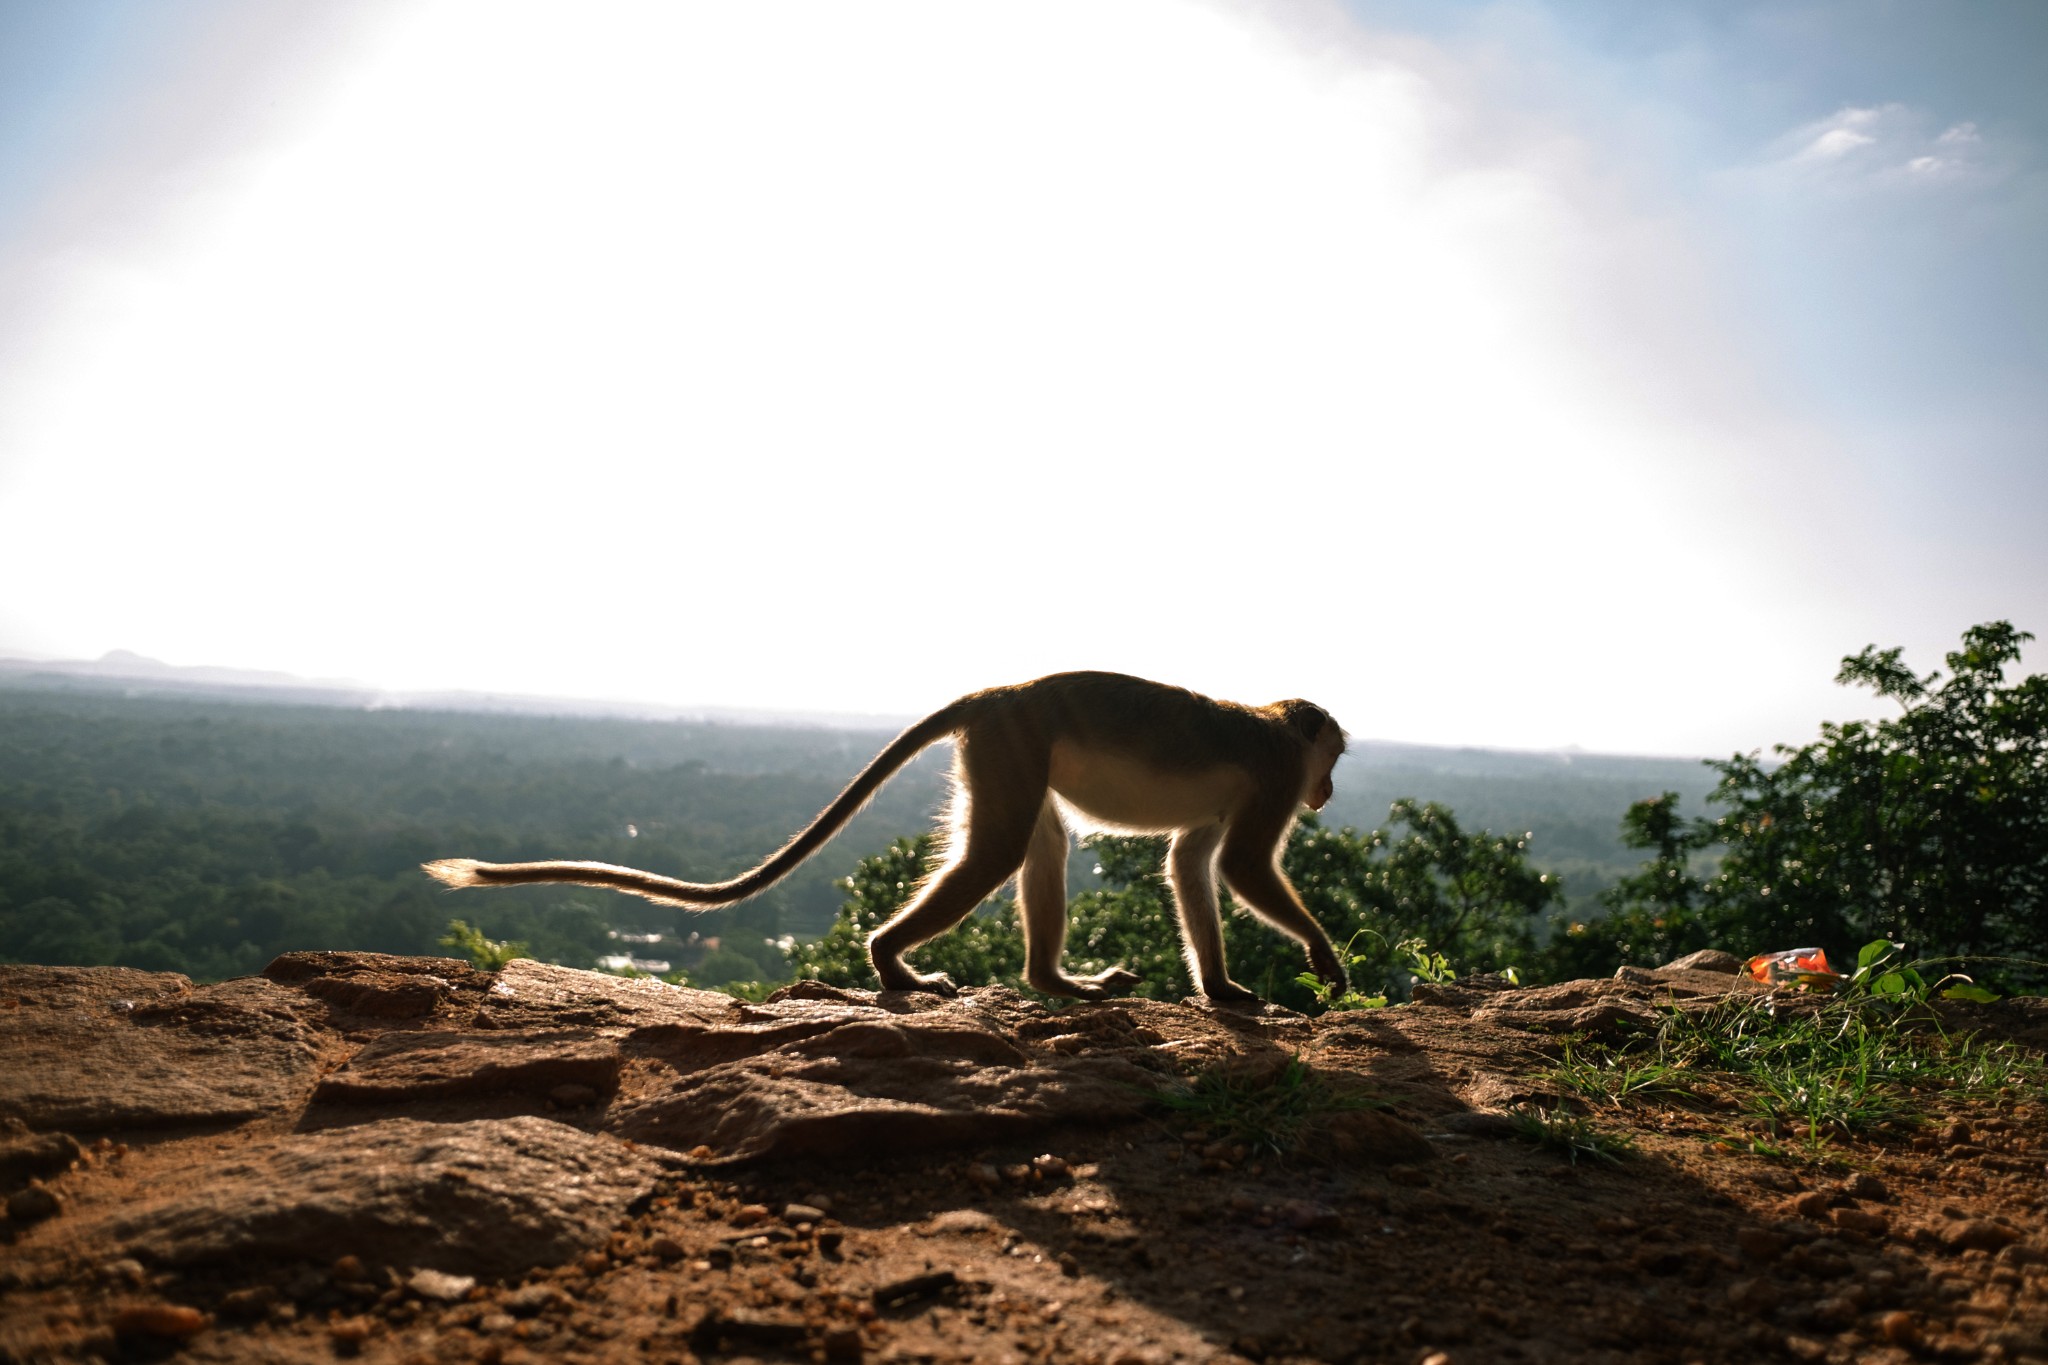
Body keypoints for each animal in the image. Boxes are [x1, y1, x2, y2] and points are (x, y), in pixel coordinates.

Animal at [419, 671, 1343, 1002]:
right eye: (1332, 755)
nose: (1329, 789)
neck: (1275, 729)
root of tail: (999, 693)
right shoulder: (1272, 776)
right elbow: (1243, 864)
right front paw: (1325, 958)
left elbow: (1192, 861)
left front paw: (1219, 989)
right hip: (1011, 742)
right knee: (1002, 850)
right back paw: (892, 962)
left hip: (1007, 750)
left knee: (1035, 845)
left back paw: (1053, 982)